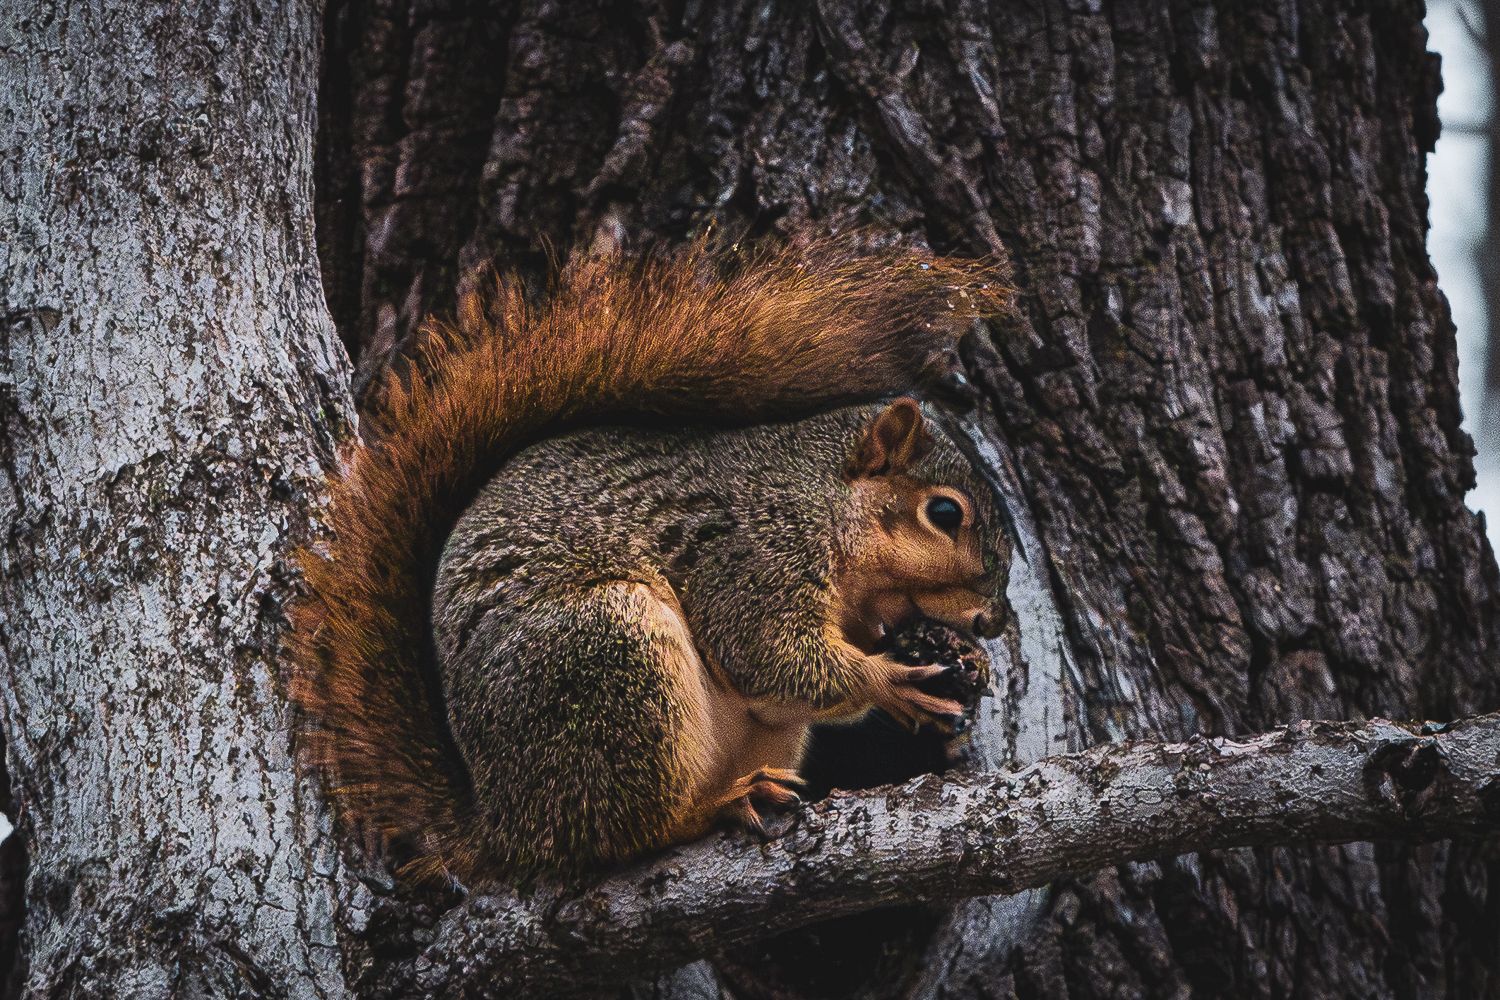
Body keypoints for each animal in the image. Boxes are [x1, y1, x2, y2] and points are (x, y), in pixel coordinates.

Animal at [290, 236, 1012, 885]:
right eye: (945, 513)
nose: (995, 621)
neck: (822, 501)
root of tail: (506, 826)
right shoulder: (748, 559)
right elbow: (770, 655)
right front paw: (891, 680)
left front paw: (956, 654)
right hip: (607, 655)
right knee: (627, 833)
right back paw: (720, 806)